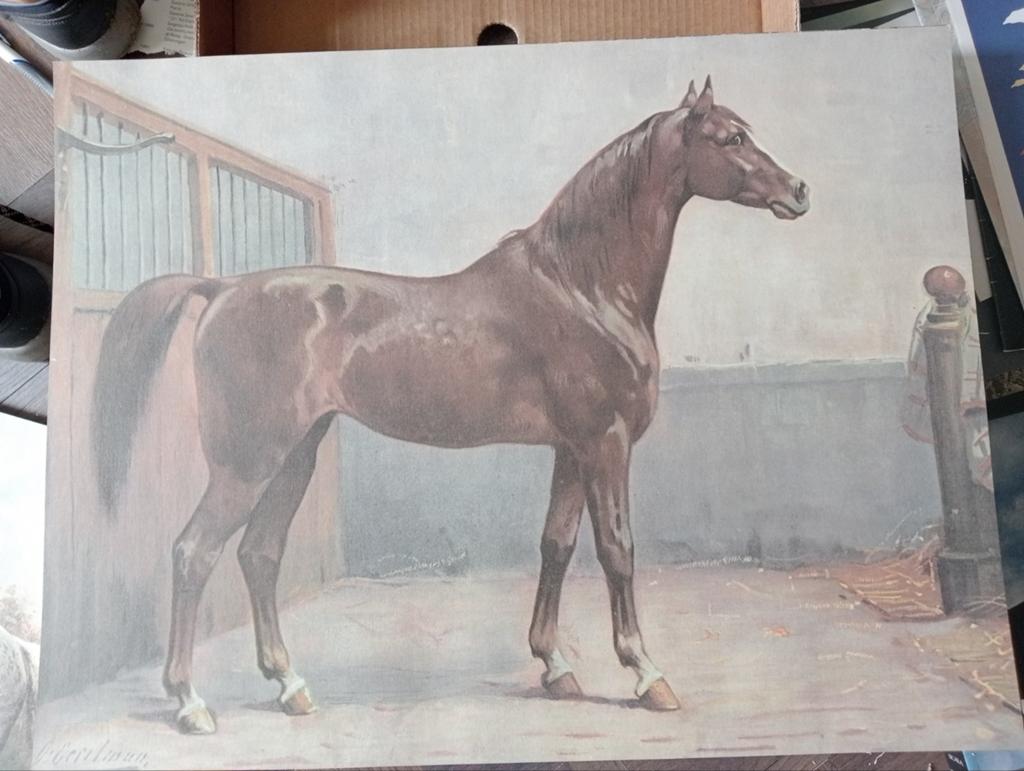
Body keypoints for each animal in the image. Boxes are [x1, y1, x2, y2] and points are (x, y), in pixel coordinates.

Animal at [91, 76, 809, 734]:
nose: (799, 190)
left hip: (296, 455)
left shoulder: (571, 448)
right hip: (248, 462)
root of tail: (221, 289)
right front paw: (646, 673)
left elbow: (556, 544)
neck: (583, 288)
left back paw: (291, 685)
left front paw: (555, 667)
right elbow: (617, 549)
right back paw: (190, 702)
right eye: (731, 138)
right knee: (194, 552)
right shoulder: (605, 442)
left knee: (259, 554)